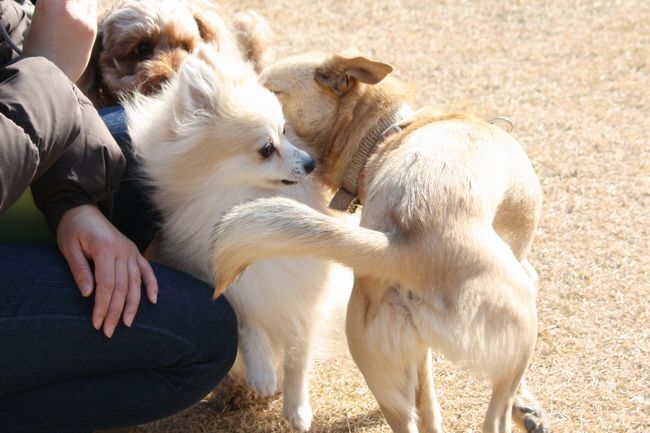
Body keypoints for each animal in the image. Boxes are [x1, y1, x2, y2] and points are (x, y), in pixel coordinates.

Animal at [123, 45, 341, 432]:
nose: (311, 163)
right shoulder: (212, 274)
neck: (246, 200)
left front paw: (297, 408)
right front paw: (262, 373)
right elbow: (245, 319)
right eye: (266, 149)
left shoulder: (304, 288)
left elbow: (298, 350)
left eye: (285, 131)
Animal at [210, 52, 550, 433]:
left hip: (385, 367)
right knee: (495, 413)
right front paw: (528, 409)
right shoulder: (525, 269)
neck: (389, 133)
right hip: (521, 322)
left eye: (271, 91)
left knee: (419, 416)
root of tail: (400, 247)